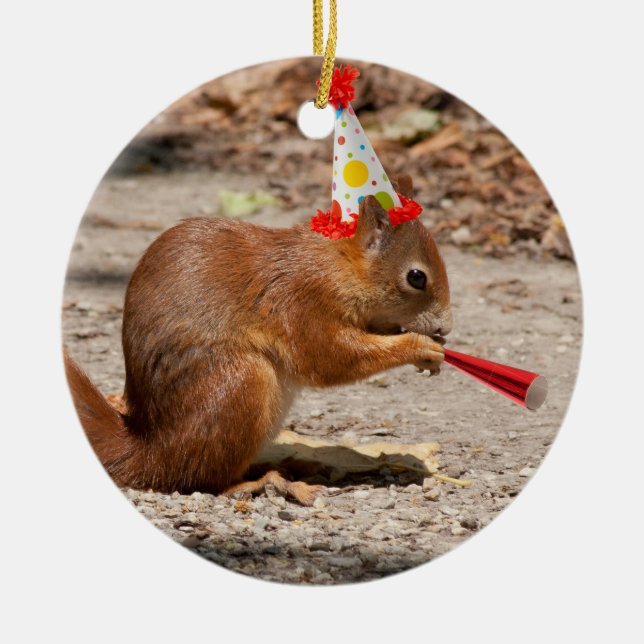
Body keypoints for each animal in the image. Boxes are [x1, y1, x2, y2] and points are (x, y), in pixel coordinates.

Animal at [65, 175, 452, 505]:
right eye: (416, 277)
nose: (446, 328)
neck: (338, 264)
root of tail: (152, 451)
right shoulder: (303, 300)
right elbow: (328, 357)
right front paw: (419, 346)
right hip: (241, 382)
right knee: (197, 479)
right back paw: (256, 482)